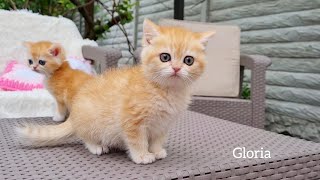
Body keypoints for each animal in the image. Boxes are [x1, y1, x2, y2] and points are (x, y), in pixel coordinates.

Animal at [15, 20, 215, 165]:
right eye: (165, 57)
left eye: (188, 60)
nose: (176, 68)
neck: (165, 90)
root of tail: (74, 116)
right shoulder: (132, 121)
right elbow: (137, 141)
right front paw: (142, 155)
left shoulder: (163, 124)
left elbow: (158, 139)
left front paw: (157, 150)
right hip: (92, 122)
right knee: (84, 135)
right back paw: (96, 146)